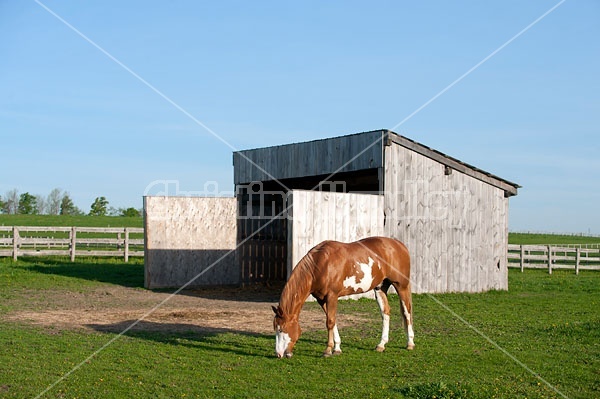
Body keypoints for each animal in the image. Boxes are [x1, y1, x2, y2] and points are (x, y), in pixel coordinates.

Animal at [272, 238, 412, 360]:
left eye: (282, 329)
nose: (279, 354)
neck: (320, 264)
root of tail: (400, 245)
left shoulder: (332, 296)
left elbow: (329, 322)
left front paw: (328, 350)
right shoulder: (322, 299)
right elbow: (332, 321)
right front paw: (337, 348)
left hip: (401, 286)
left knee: (407, 312)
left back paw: (410, 343)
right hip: (380, 287)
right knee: (385, 313)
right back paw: (381, 345)